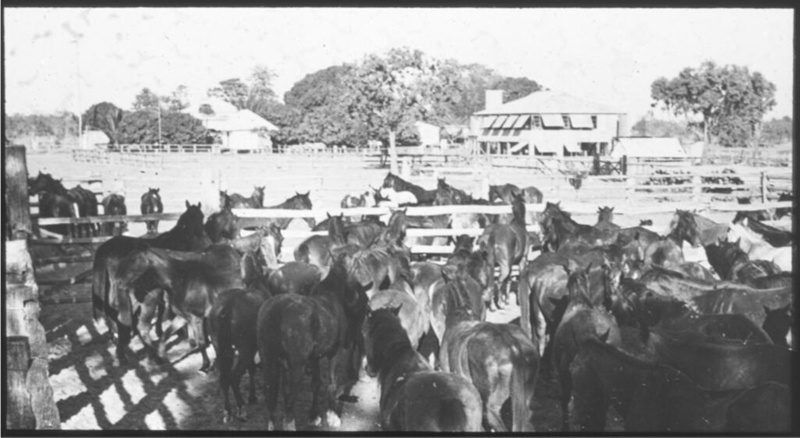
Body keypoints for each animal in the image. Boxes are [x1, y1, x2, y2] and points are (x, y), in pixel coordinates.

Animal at [258, 250, 368, 432]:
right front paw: (332, 416)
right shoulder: (334, 353)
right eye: (356, 268)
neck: (330, 294)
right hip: (296, 366)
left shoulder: (314, 358)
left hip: (270, 361)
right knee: (289, 395)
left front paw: (314, 416)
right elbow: (331, 383)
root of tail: (276, 310)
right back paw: (290, 425)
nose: (361, 300)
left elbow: (316, 384)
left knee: (271, 394)